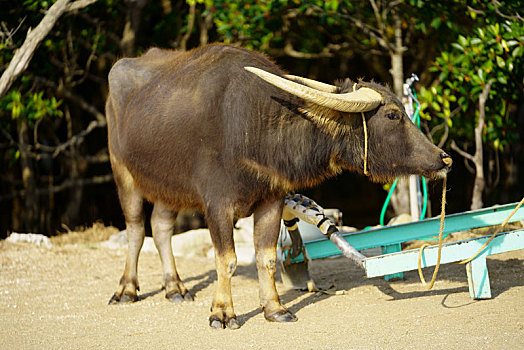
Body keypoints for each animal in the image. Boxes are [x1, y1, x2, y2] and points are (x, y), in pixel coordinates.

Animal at [105, 43, 450, 328]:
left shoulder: (271, 200)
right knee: (136, 227)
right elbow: (226, 261)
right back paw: (126, 289)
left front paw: (274, 308)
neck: (254, 127)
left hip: (167, 185)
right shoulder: (217, 205)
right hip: (123, 172)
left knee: (160, 226)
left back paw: (174, 286)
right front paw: (222, 313)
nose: (443, 158)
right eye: (392, 115)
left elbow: (267, 258)